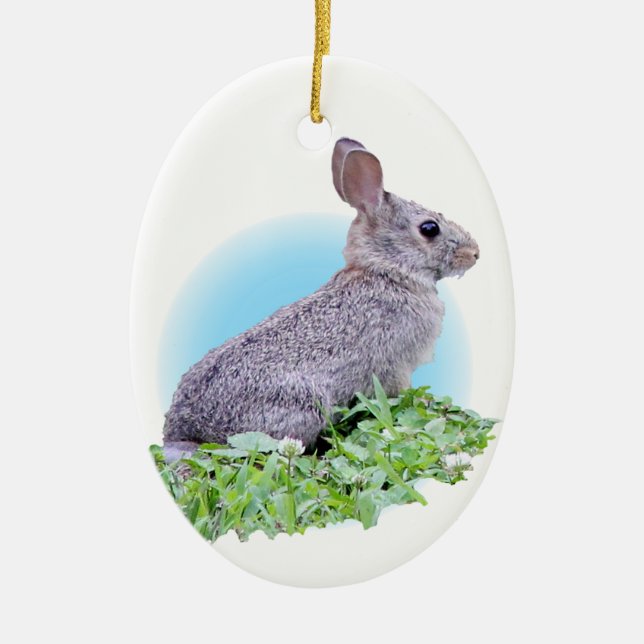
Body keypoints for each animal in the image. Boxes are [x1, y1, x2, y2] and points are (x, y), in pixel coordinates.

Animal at [162, 137, 479, 462]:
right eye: (429, 228)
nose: (475, 253)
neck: (387, 272)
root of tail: (189, 433)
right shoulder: (397, 365)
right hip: (302, 405)